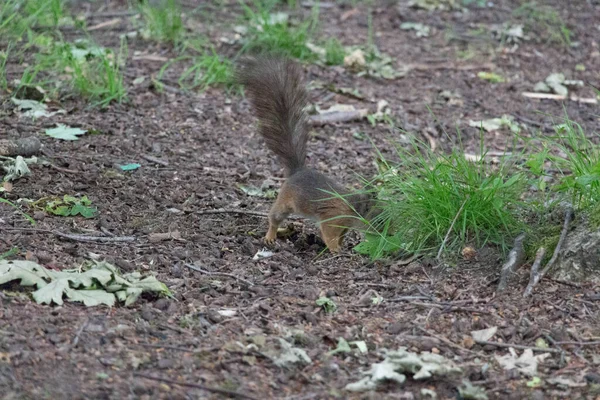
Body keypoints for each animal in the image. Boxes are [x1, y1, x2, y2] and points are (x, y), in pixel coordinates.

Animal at [237, 56, 372, 252]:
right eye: (381, 217)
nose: (391, 232)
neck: (355, 207)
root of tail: (297, 171)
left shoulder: (345, 225)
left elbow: (341, 235)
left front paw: (341, 246)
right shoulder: (334, 216)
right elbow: (329, 234)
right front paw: (335, 249)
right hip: (286, 202)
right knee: (275, 217)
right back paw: (270, 236)